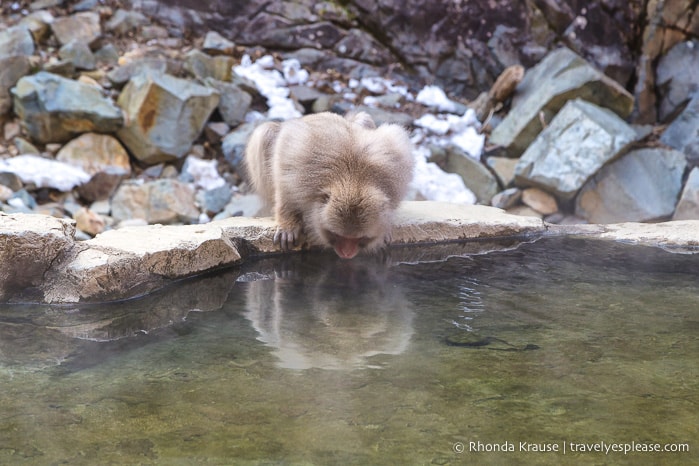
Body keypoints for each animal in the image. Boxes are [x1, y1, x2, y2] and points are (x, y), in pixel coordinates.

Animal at [245, 111, 412, 260]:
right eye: (337, 235)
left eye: (360, 238)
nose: (347, 253)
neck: (354, 178)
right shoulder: (297, 164)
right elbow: (284, 183)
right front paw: (288, 224)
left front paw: (386, 226)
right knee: (265, 132)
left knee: (365, 117)